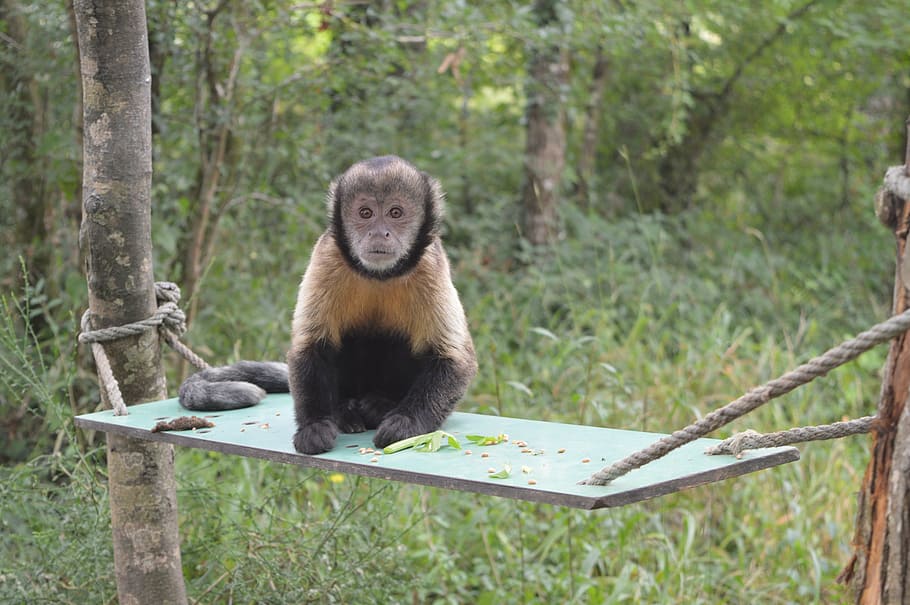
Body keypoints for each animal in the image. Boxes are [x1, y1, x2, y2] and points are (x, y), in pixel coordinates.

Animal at [179, 155, 478, 455]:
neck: (379, 276)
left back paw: (381, 404)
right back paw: (344, 410)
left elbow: (456, 360)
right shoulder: (327, 254)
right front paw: (315, 426)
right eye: (366, 213)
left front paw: (406, 424)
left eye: (395, 213)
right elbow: (311, 345)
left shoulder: (430, 264)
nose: (379, 233)